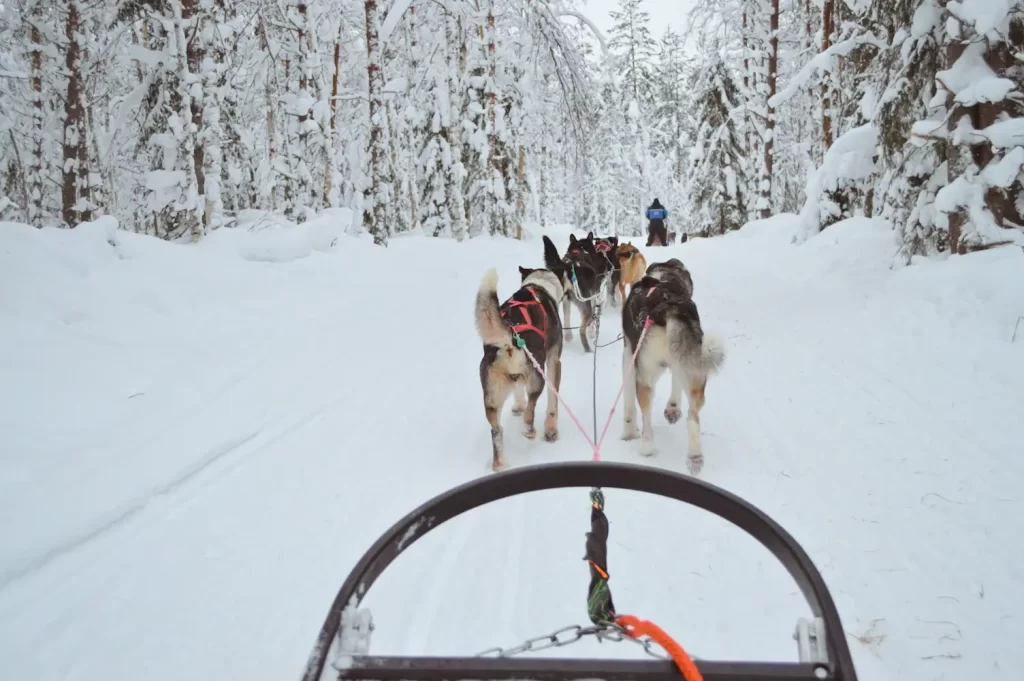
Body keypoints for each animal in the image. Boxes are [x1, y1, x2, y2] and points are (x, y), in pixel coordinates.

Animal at [473, 245, 565, 473]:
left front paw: (517, 405)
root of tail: (509, 340)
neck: (539, 285)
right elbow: (553, 402)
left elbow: (517, 390)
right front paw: (551, 430)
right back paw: (529, 431)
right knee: (530, 412)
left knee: (496, 430)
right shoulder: (554, 361)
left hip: (491, 399)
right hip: (537, 377)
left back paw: (500, 464)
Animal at [618, 258, 724, 475]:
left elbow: (629, 404)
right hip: (693, 371)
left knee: (647, 414)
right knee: (693, 415)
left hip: (645, 375)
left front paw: (629, 433)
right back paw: (694, 457)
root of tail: (667, 307)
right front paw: (673, 408)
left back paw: (647, 447)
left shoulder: (629, 358)